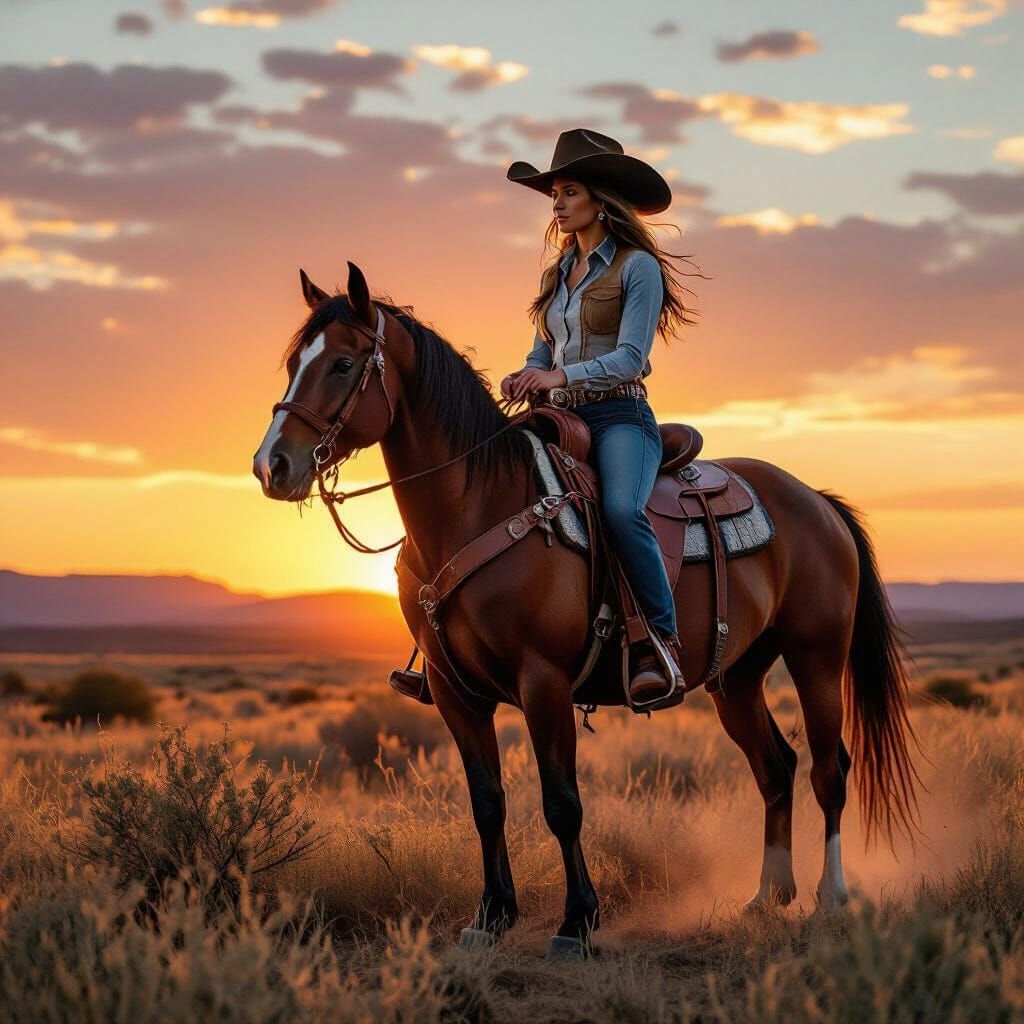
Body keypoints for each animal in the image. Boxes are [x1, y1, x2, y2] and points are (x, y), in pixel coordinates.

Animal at [253, 261, 919, 961]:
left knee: (828, 769)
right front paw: (490, 917)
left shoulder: (543, 681)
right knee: (776, 768)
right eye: (295, 361)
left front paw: (577, 923)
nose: (272, 465)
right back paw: (767, 897)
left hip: (817, 655)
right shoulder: (456, 692)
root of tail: (816, 499)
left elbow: (561, 803)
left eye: (343, 364)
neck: (480, 505)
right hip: (736, 676)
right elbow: (487, 804)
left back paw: (831, 897)